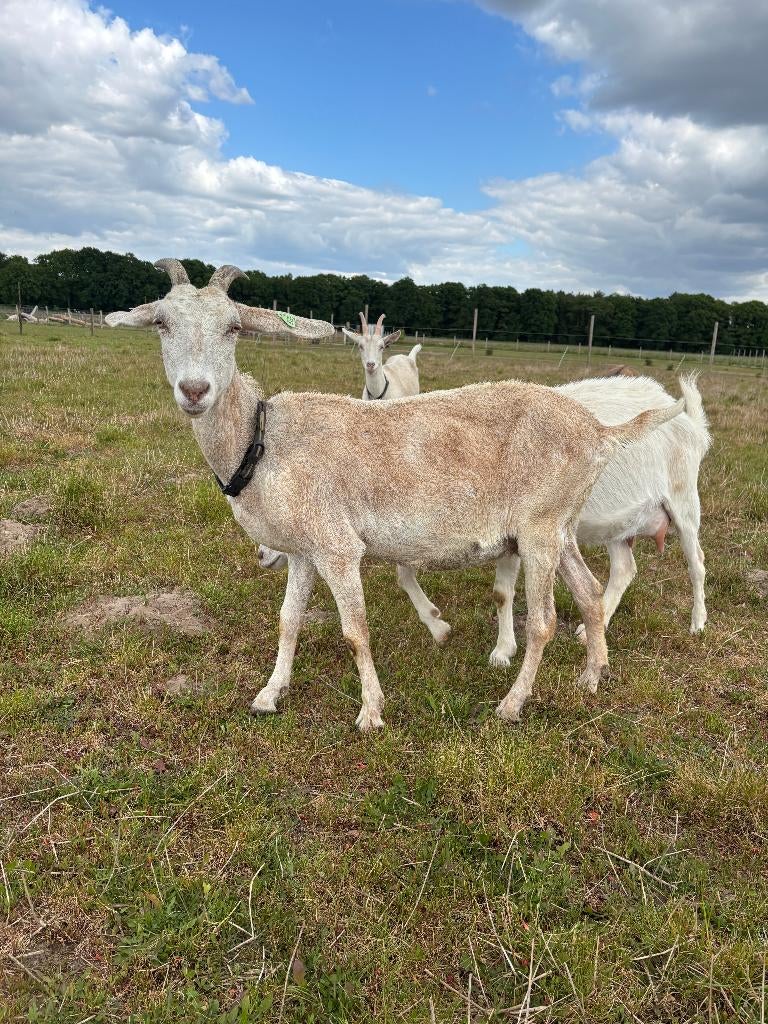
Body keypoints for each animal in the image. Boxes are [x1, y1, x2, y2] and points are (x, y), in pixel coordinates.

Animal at [107, 260, 686, 730]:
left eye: (232, 327)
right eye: (161, 322)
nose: (195, 390)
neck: (263, 438)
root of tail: (598, 430)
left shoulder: (337, 546)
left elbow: (355, 630)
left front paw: (370, 710)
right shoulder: (302, 550)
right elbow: (288, 621)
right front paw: (270, 693)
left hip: (542, 528)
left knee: (544, 621)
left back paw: (512, 704)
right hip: (558, 524)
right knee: (589, 593)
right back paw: (591, 677)